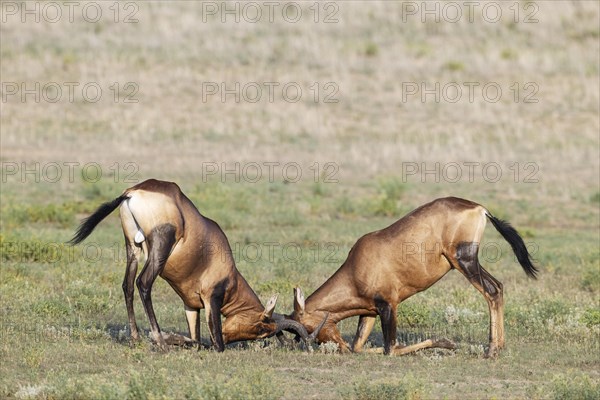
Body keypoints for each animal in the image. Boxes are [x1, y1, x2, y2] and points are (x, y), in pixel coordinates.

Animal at [69, 178, 318, 350]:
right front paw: (169, 338)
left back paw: (136, 338)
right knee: (143, 283)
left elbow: (196, 340)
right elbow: (213, 345)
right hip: (161, 243)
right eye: (261, 328)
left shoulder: (191, 306)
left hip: (132, 246)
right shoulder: (211, 299)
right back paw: (160, 341)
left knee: (127, 285)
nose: (229, 337)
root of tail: (133, 192)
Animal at [290, 196, 540, 356]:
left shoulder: (389, 305)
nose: (338, 347)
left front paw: (446, 343)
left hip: (464, 261)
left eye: (307, 327)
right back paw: (500, 347)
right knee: (499, 286)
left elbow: (391, 349)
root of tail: (479, 209)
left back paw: (491, 350)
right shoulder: (370, 310)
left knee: (492, 291)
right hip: (468, 262)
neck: (356, 266)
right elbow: (359, 347)